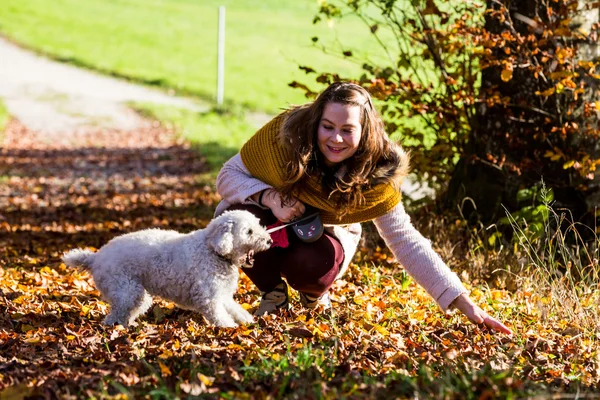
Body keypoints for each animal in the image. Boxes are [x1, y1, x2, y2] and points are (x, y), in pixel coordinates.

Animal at [61, 209, 272, 328]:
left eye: (258, 224)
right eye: (249, 231)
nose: (269, 240)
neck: (212, 250)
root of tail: (96, 257)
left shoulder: (222, 295)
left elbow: (235, 309)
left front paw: (246, 321)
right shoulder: (209, 298)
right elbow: (220, 316)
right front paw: (229, 328)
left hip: (138, 296)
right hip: (126, 290)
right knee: (113, 316)